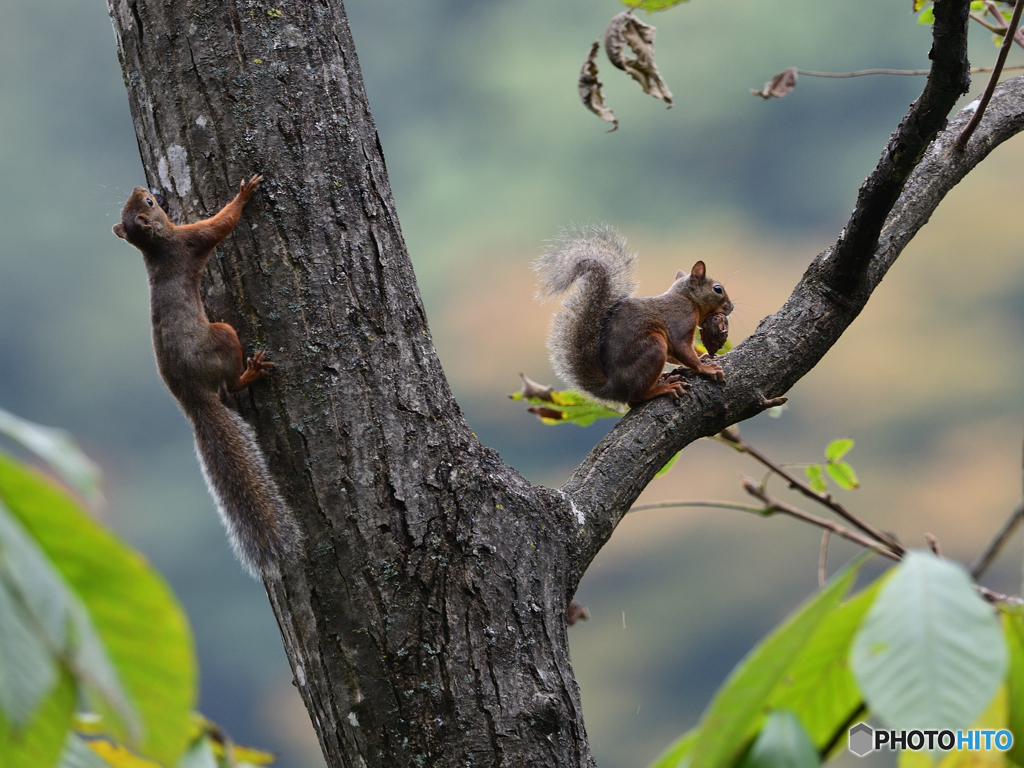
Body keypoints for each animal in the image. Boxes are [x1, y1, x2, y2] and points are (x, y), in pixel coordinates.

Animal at [115, 176, 301, 577]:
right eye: (149, 203)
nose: (140, 188)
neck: (156, 247)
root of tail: (192, 397)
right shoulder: (192, 239)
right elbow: (221, 225)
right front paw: (244, 194)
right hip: (224, 334)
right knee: (230, 386)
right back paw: (251, 372)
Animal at [532, 225, 733, 409]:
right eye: (717, 289)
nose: (731, 307)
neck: (686, 298)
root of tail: (614, 388)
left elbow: (676, 356)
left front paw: (705, 356)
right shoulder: (680, 320)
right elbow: (683, 350)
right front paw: (706, 369)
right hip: (653, 347)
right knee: (635, 397)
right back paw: (662, 388)